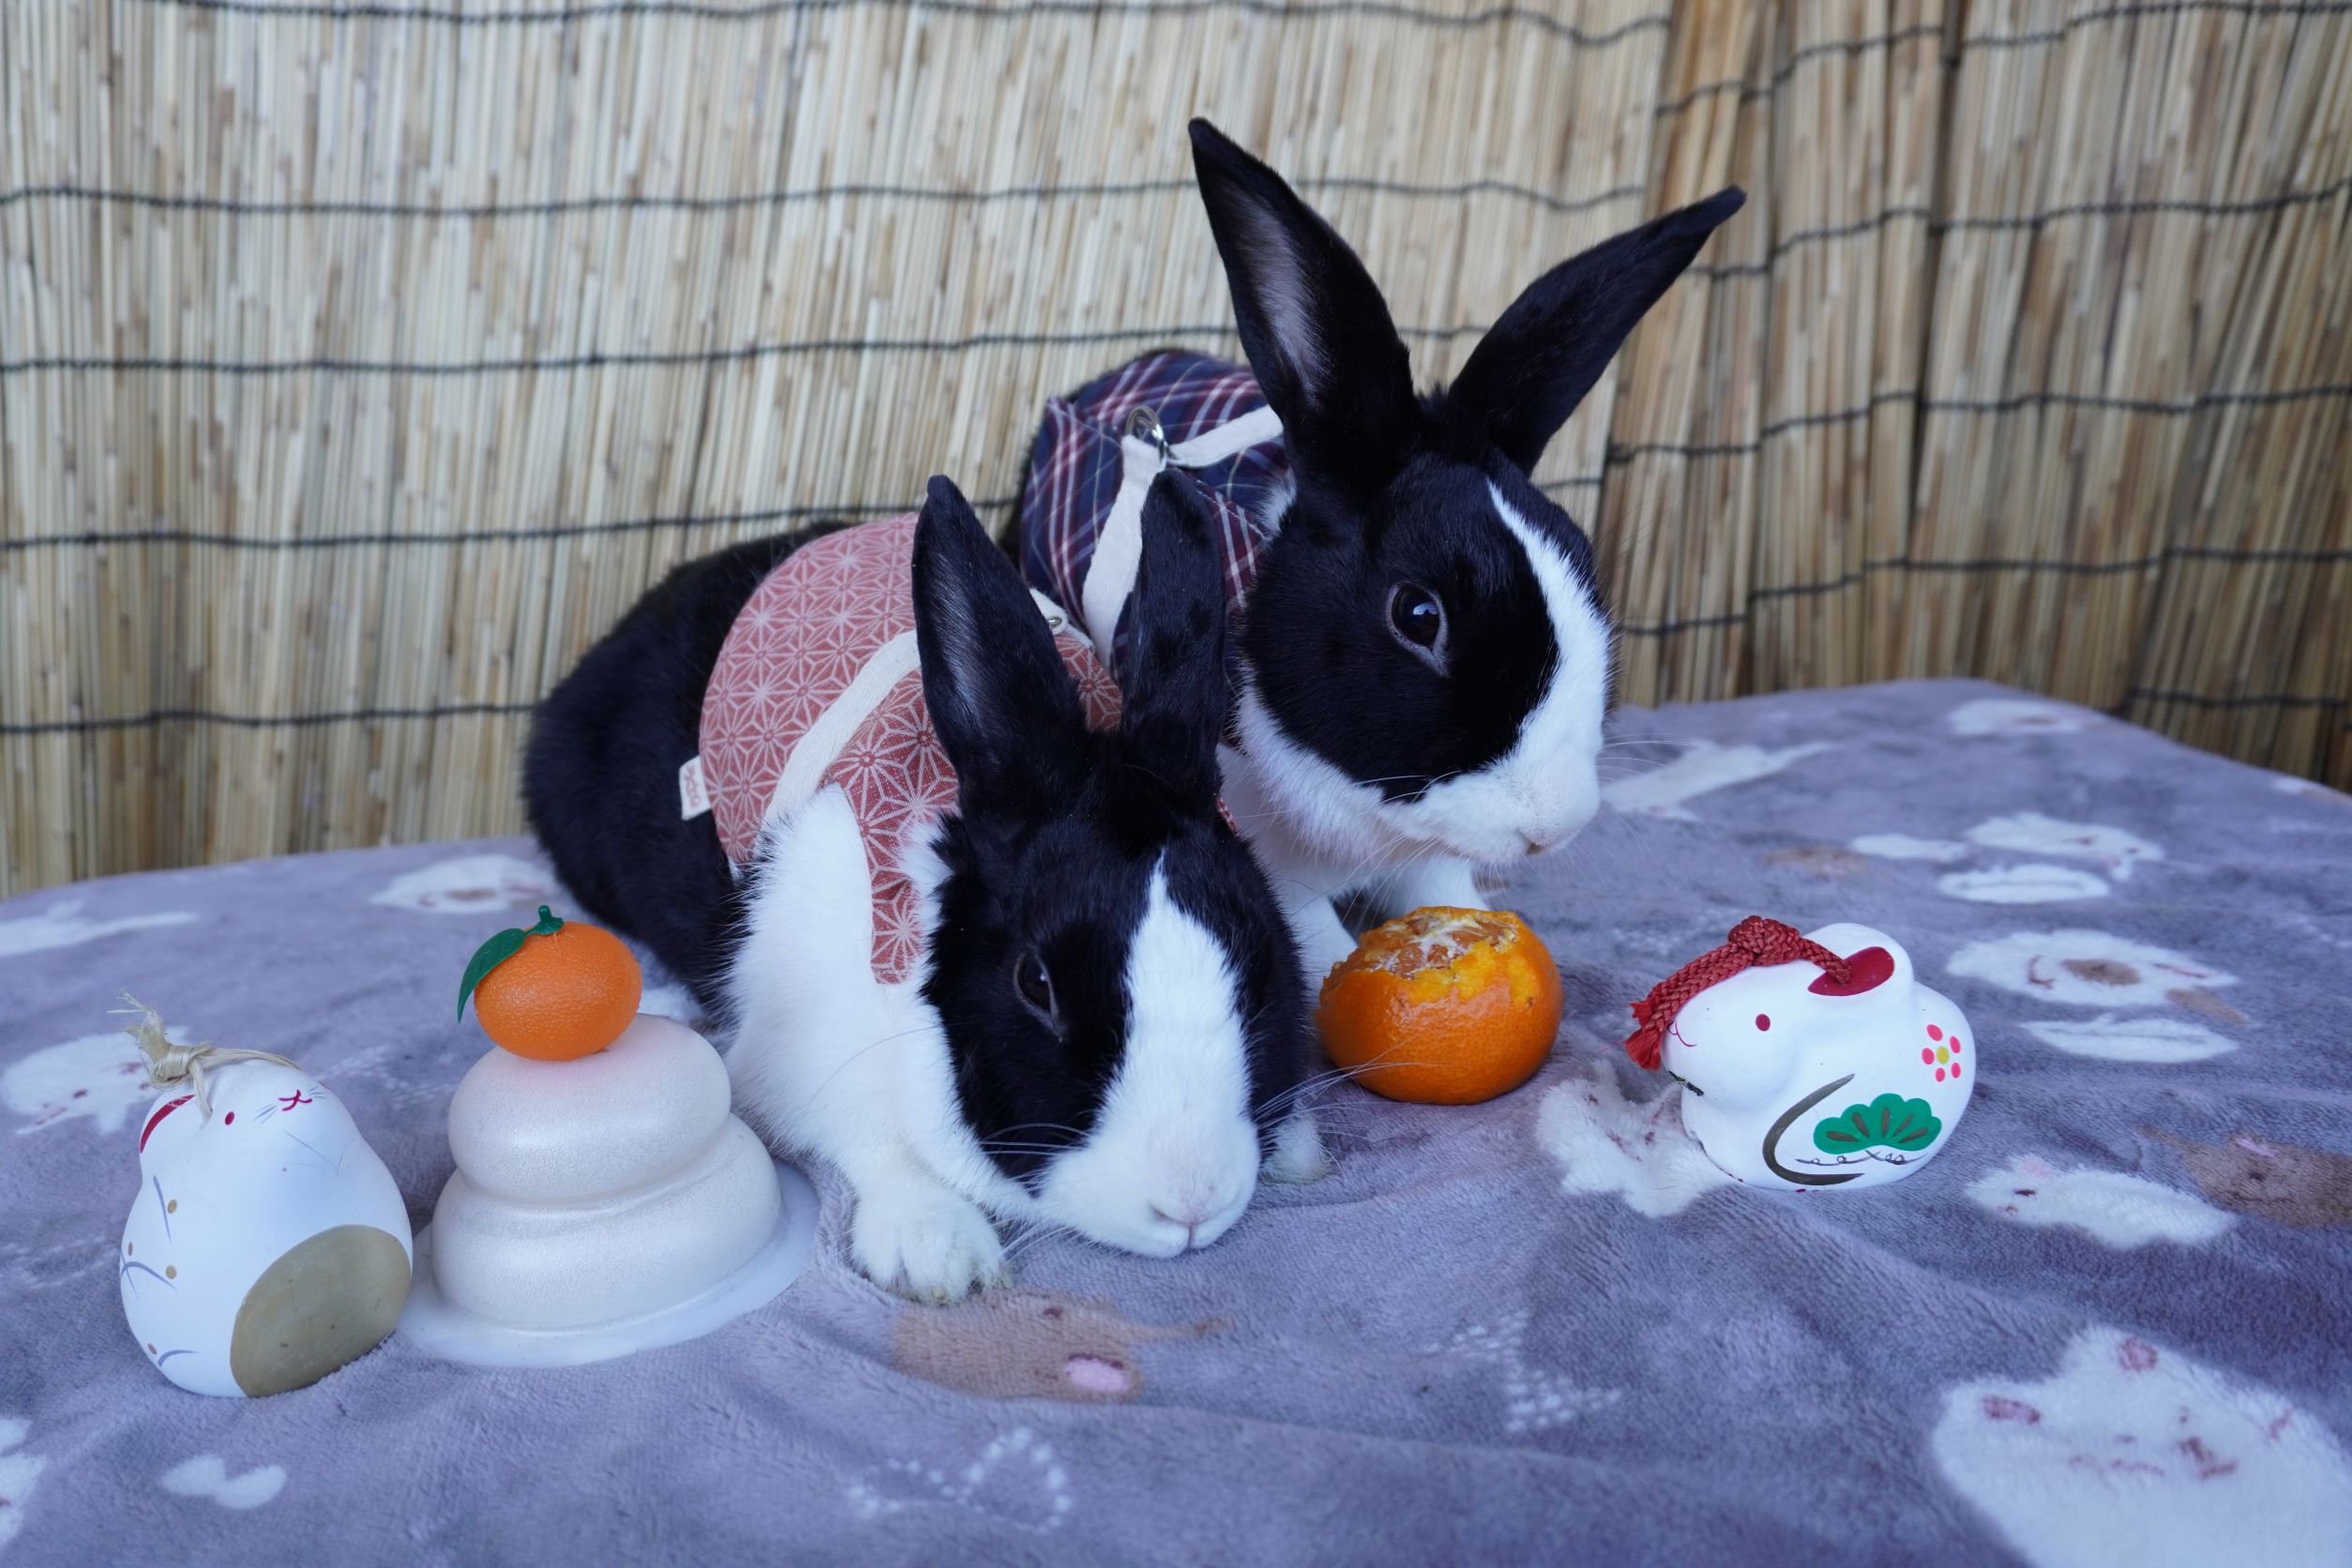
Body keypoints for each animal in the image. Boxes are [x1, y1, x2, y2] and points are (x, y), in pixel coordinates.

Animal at [525, 474, 1322, 1302]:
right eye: (1035, 984)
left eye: (1260, 965)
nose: (1191, 1200)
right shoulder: (794, 1049)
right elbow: (869, 1132)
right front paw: (940, 1252)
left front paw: (1297, 1145)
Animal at [1019, 120, 1744, 978]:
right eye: (1418, 615)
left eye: (1583, 561)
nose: (1551, 826)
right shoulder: (1255, 836)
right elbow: (1314, 937)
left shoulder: (1427, 853)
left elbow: (1443, 890)